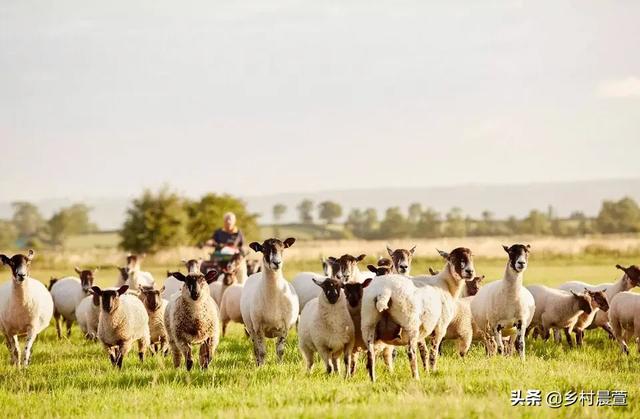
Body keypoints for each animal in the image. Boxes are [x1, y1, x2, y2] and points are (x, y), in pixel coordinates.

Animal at [240, 240, 300, 368]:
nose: (277, 263)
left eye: (283, 248)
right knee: (256, 348)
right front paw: (262, 367)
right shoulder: (258, 327)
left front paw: (279, 366)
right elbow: (262, 351)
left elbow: (280, 350)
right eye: (263, 249)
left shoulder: (285, 327)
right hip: (250, 328)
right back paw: (257, 363)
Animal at [360, 248, 476, 382]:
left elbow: (424, 351)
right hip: (410, 324)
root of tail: (385, 291)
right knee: (411, 352)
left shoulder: (423, 331)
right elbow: (433, 352)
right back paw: (416, 377)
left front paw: (427, 371)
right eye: (453, 258)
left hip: (369, 324)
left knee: (370, 353)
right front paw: (433, 371)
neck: (446, 284)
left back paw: (372, 379)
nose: (470, 271)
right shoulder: (440, 327)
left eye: (471, 257)